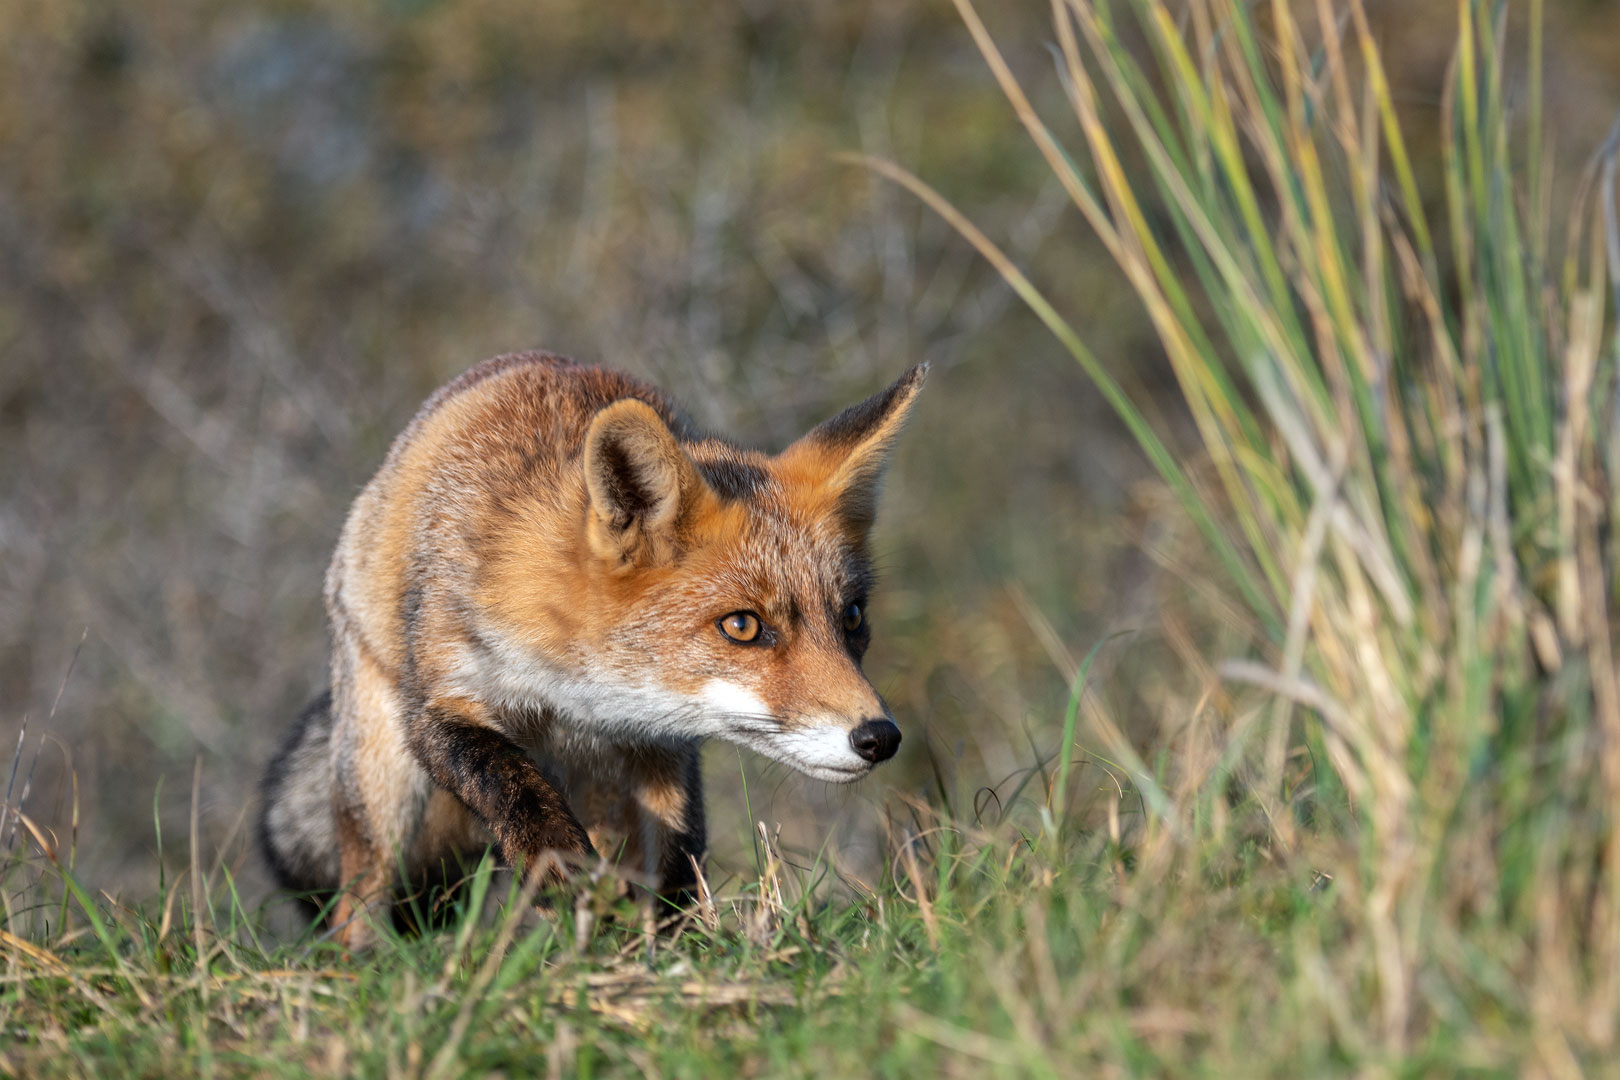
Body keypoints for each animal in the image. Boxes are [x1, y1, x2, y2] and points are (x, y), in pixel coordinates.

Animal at [260, 354, 933, 945]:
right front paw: (571, 887)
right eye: (743, 626)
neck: (577, 699)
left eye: (851, 618)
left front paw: (670, 954)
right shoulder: (442, 698)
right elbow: (517, 793)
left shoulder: (659, 750)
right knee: (360, 896)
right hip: (380, 781)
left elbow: (674, 863)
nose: (879, 737)